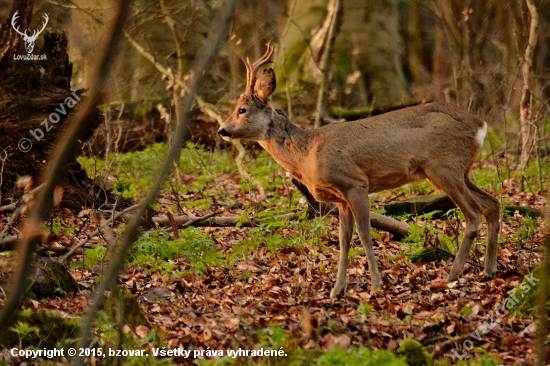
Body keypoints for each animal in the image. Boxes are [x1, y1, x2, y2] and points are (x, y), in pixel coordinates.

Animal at [219, 43, 500, 298]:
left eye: (242, 110)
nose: (223, 130)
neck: (307, 153)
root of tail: (481, 124)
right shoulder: (340, 198)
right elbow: (344, 240)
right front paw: (337, 290)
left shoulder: (355, 183)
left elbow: (365, 234)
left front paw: (376, 285)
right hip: (462, 170)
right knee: (492, 204)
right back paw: (489, 270)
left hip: (444, 166)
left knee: (473, 213)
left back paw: (453, 274)